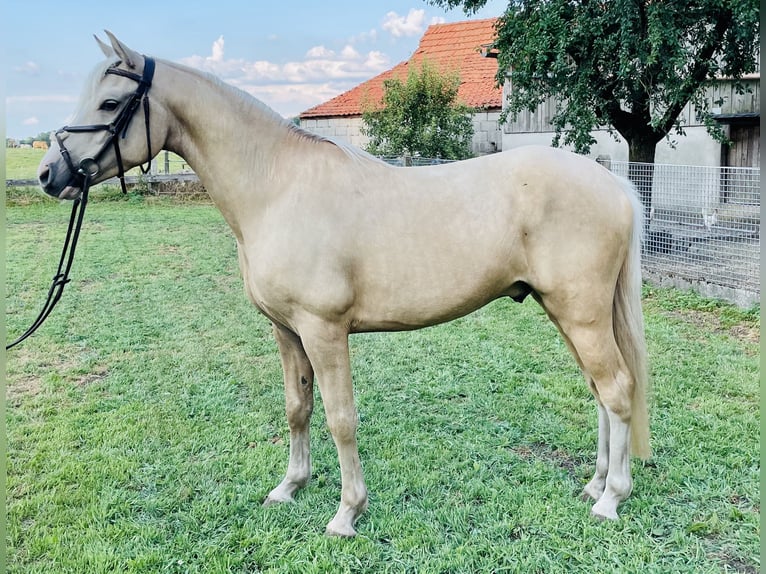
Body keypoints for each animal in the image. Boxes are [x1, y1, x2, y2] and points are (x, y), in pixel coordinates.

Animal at [37, 32, 650, 537]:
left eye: (110, 104)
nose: (50, 173)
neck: (277, 188)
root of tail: (614, 186)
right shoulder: (287, 331)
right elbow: (297, 407)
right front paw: (290, 487)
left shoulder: (324, 330)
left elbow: (341, 417)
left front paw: (347, 513)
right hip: (565, 311)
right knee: (601, 391)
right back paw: (595, 484)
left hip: (580, 312)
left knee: (617, 389)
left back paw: (611, 500)